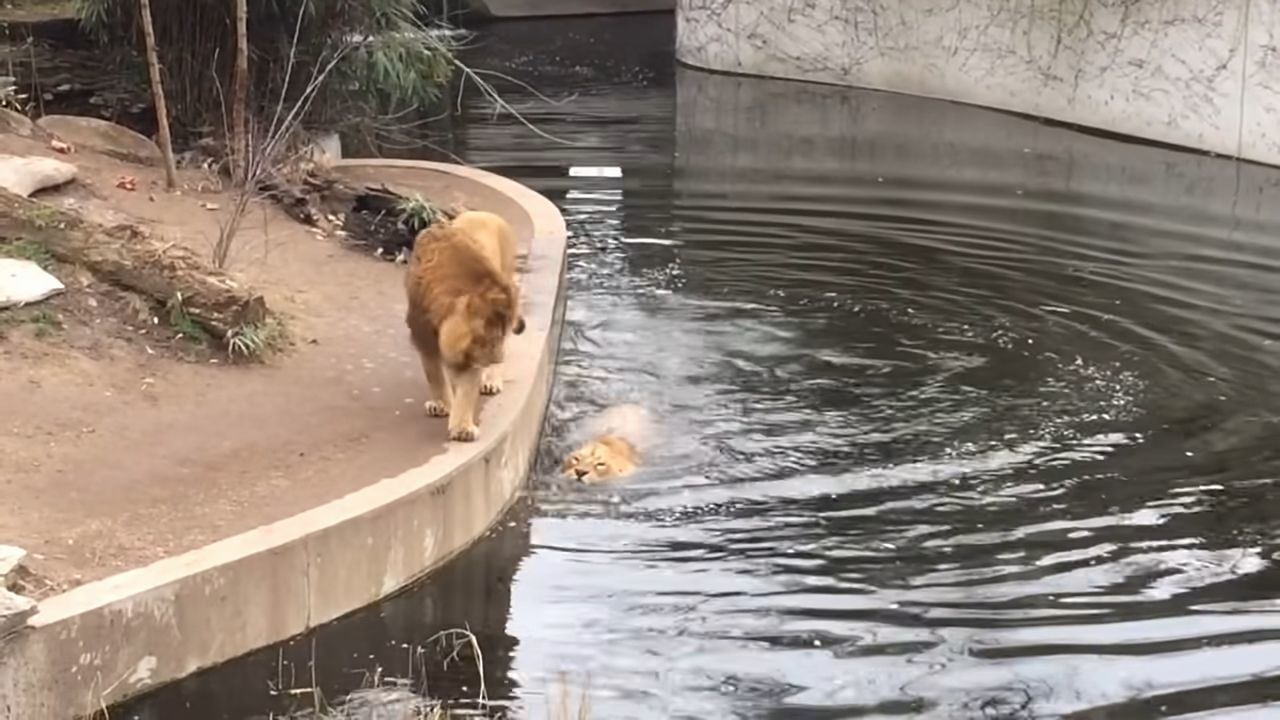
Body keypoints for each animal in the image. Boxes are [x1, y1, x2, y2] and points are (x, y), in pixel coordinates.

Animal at [409, 210, 529, 440]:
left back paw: (491, 382)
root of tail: (484, 213)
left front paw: (462, 428)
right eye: (492, 337)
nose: (497, 357)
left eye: (499, 336)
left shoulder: (472, 355)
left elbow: (466, 388)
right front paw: (441, 404)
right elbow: (434, 373)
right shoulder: (422, 335)